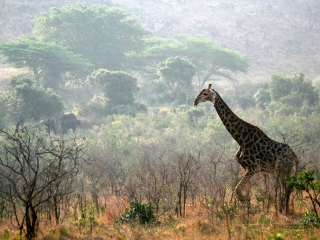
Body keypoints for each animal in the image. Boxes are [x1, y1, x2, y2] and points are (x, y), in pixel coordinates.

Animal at [194, 84, 298, 212]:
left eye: (205, 94)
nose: (195, 101)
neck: (241, 139)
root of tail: (294, 155)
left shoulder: (252, 168)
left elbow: (237, 189)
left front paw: (249, 208)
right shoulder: (246, 168)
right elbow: (244, 190)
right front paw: (247, 208)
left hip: (282, 169)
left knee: (286, 188)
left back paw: (284, 210)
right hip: (283, 170)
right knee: (286, 188)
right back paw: (284, 209)